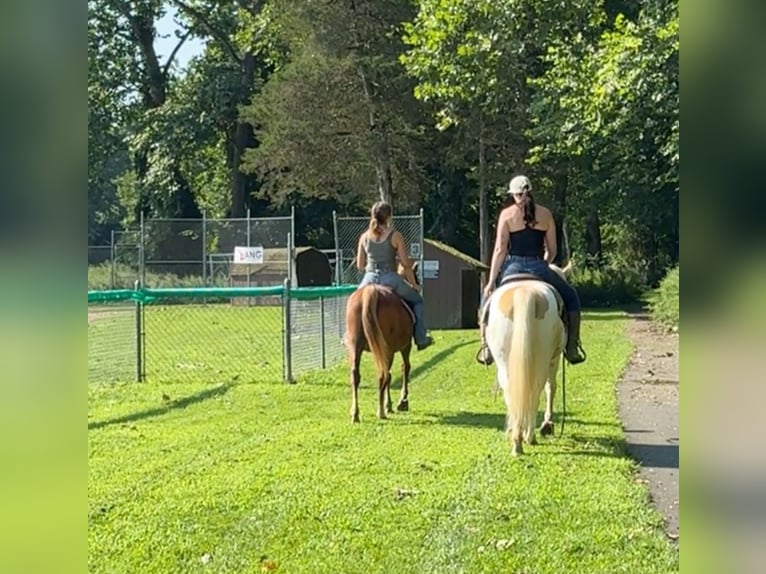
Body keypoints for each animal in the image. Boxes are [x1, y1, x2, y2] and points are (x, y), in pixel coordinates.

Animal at [348, 266, 420, 424]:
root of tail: (371, 291)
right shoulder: (405, 347)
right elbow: (404, 368)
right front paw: (401, 402)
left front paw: (390, 404)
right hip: (387, 349)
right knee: (383, 375)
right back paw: (381, 411)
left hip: (356, 347)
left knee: (356, 375)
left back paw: (355, 414)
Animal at [486, 276, 568, 456]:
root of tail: (524, 292)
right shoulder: (554, 359)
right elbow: (551, 388)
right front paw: (547, 424)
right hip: (544, 360)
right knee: (535, 392)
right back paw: (529, 436)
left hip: (505, 365)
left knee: (513, 393)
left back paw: (517, 440)